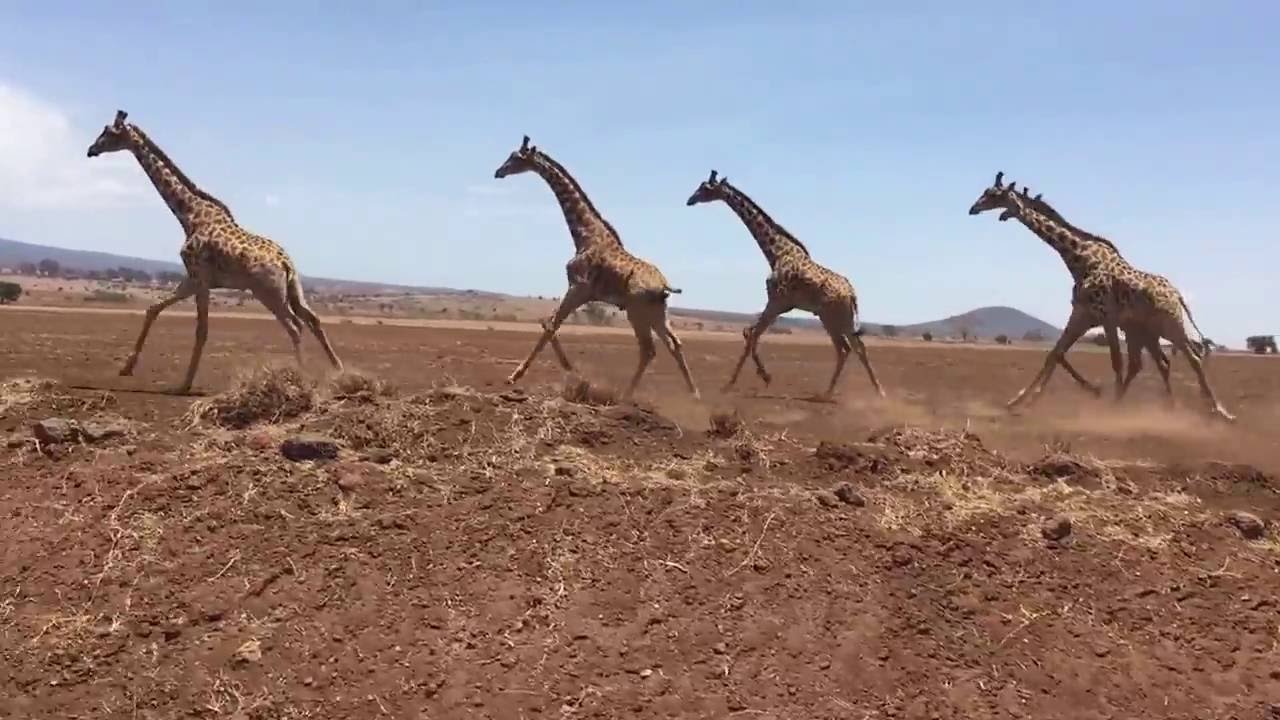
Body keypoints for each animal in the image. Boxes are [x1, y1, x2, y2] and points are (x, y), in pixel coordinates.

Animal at [86, 110, 342, 393]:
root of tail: (286, 263)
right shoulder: (193, 278)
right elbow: (153, 308)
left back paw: (303, 376)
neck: (190, 215)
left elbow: (202, 329)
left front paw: (184, 384)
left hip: (269, 293)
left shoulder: (201, 277)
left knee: (295, 327)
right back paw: (337, 370)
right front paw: (126, 368)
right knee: (313, 319)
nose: (91, 150)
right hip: (293, 290)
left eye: (108, 132)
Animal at [492, 135, 699, 400]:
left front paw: (517, 376)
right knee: (674, 344)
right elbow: (548, 322)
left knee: (649, 349)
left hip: (637, 312)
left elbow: (550, 324)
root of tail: (665, 286)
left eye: (516, 157)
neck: (584, 235)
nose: (499, 172)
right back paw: (694, 395)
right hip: (657, 314)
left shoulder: (578, 287)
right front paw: (570, 369)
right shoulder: (583, 292)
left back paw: (626, 396)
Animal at [685, 170, 885, 401]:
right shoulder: (781, 305)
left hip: (833, 318)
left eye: (705, 188)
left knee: (846, 348)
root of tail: (852, 294)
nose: (690, 200)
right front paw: (762, 376)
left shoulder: (776, 301)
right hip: (841, 319)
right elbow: (750, 333)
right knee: (855, 347)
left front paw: (735, 383)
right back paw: (870, 392)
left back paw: (832, 393)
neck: (776, 254)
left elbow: (752, 334)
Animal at [969, 172, 1232, 421]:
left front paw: (1106, 404)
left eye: (994, 194)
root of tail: (1177, 295)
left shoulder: (1107, 318)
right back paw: (1170, 407)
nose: (973, 209)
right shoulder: (1082, 314)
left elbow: (1115, 362)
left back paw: (1220, 411)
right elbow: (1054, 353)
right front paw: (1019, 401)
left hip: (1169, 325)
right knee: (1157, 362)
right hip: (1146, 331)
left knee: (1193, 358)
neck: (1079, 260)